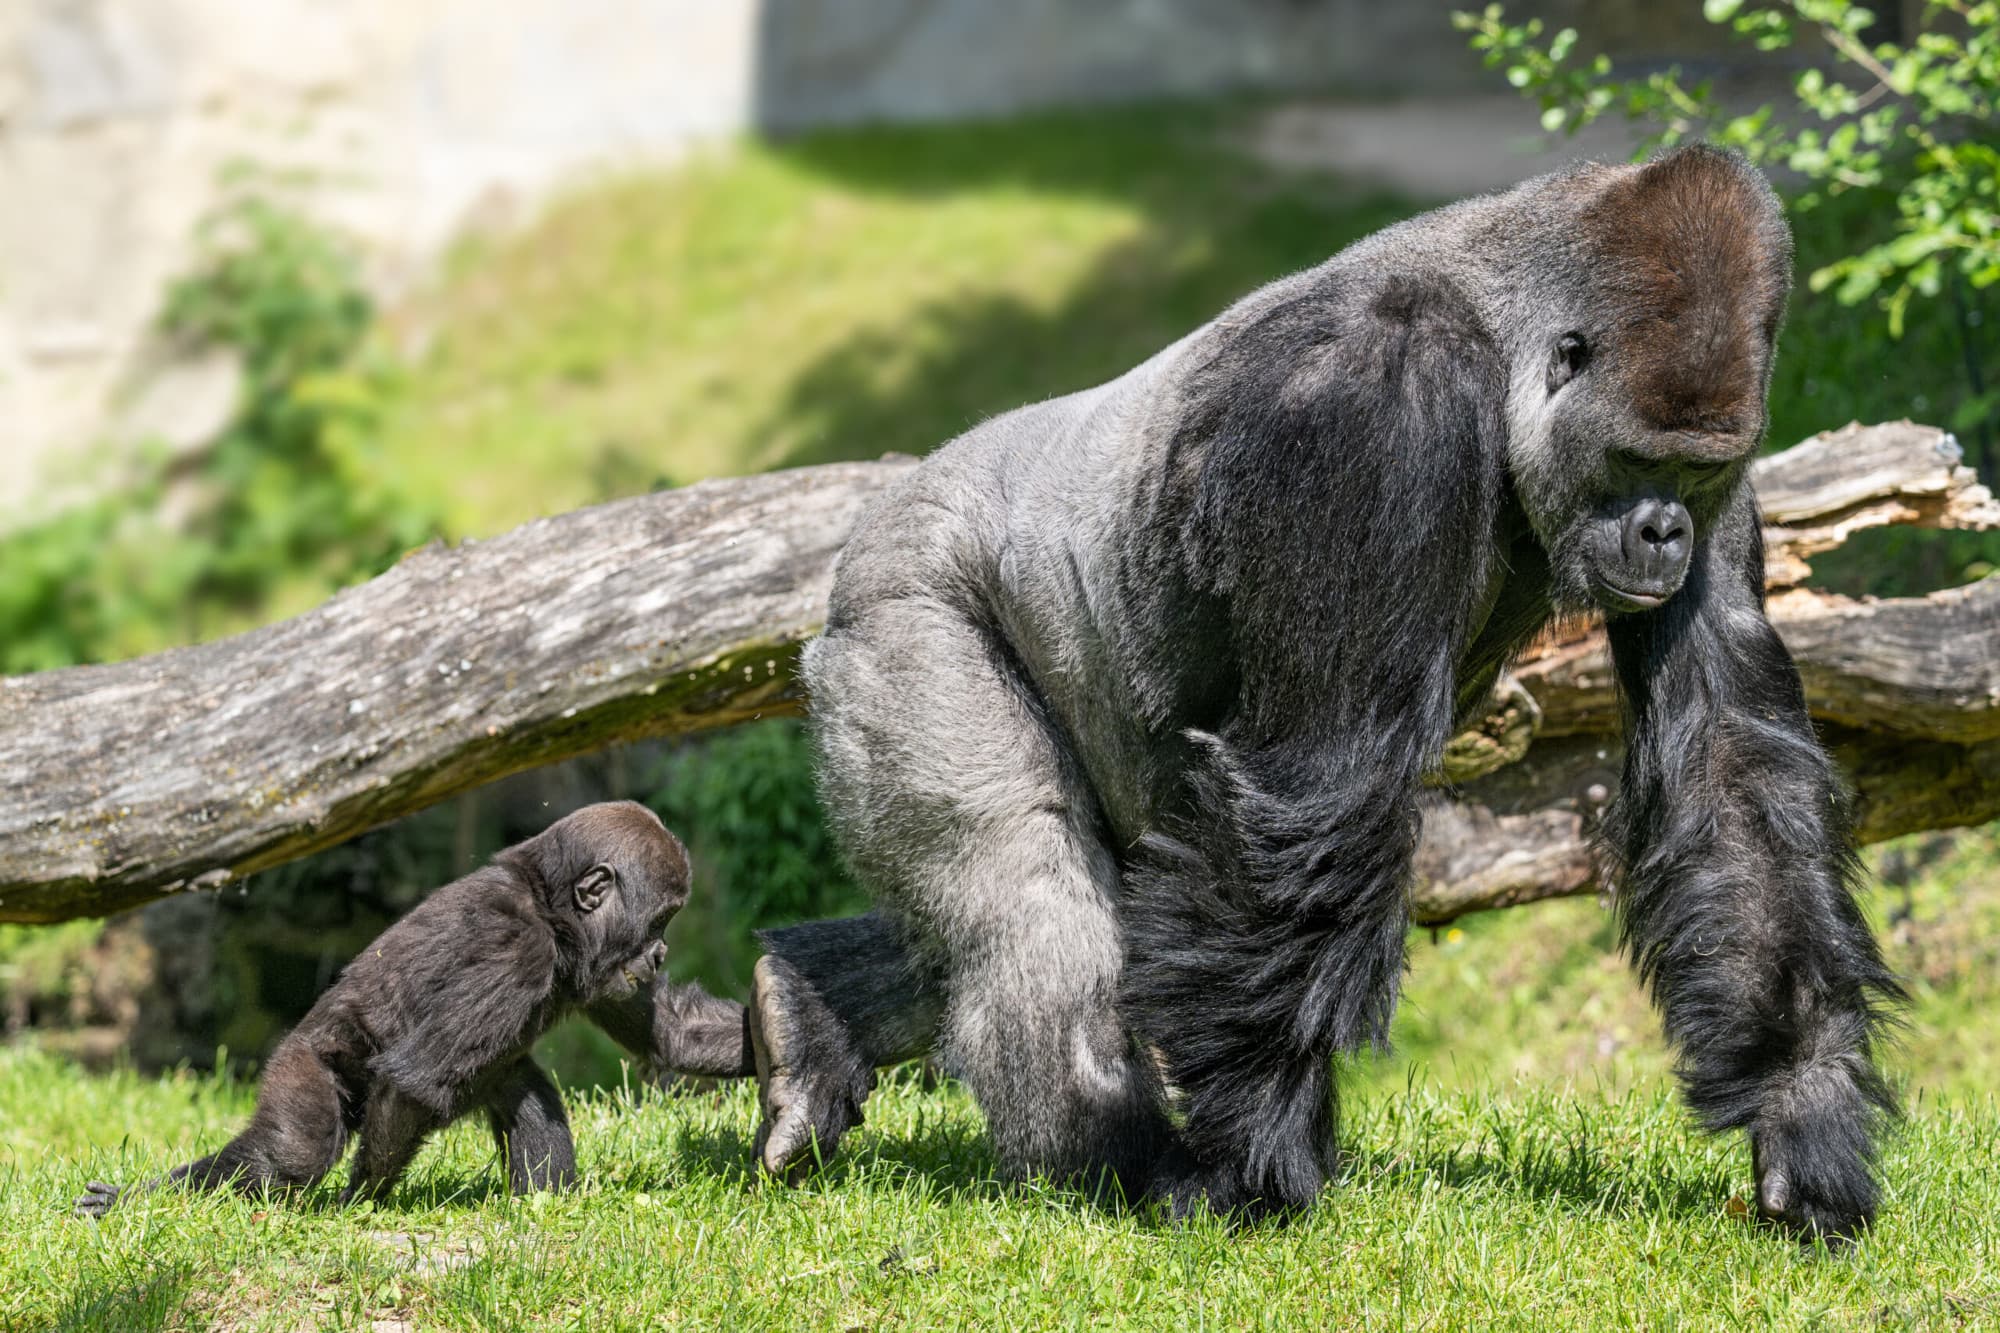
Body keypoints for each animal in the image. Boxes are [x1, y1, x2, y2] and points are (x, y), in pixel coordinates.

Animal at [74, 800, 750, 1216]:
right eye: (658, 921)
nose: (660, 953)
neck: (551, 909)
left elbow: (674, 1033)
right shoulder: (516, 953)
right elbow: (418, 1081)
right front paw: (360, 1201)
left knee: (520, 1088)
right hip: (302, 1062)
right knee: (295, 1148)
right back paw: (141, 1200)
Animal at [746, 144, 1902, 1240]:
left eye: (1697, 471)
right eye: (1633, 458)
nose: (1665, 532)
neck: (1499, 332)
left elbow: (1727, 756)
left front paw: (1801, 1113)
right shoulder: (1374, 397)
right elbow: (1320, 781)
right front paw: (1247, 1169)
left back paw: (804, 1015)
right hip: (902, 607)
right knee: (1031, 901)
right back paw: (1117, 1162)